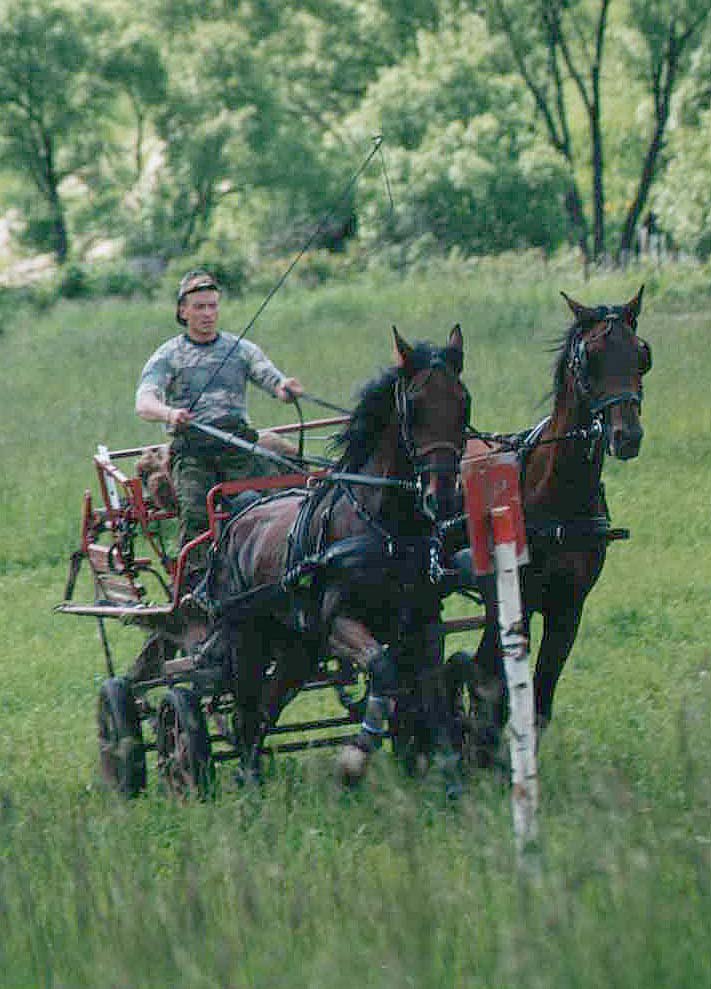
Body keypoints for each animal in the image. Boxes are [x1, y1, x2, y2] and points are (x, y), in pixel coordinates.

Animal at [203, 324, 470, 788]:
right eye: (415, 408)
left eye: (463, 402)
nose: (444, 499)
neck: (384, 527)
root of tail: (237, 517)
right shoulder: (336, 623)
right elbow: (383, 667)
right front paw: (356, 756)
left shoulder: (424, 622)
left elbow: (432, 691)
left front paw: (449, 770)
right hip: (249, 637)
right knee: (247, 710)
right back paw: (247, 780)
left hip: (298, 646)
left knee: (267, 706)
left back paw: (250, 774)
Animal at [458, 286, 652, 764]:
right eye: (590, 358)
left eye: (641, 355)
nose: (627, 436)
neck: (555, 496)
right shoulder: (517, 604)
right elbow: (498, 688)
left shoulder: (569, 607)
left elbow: (539, 700)